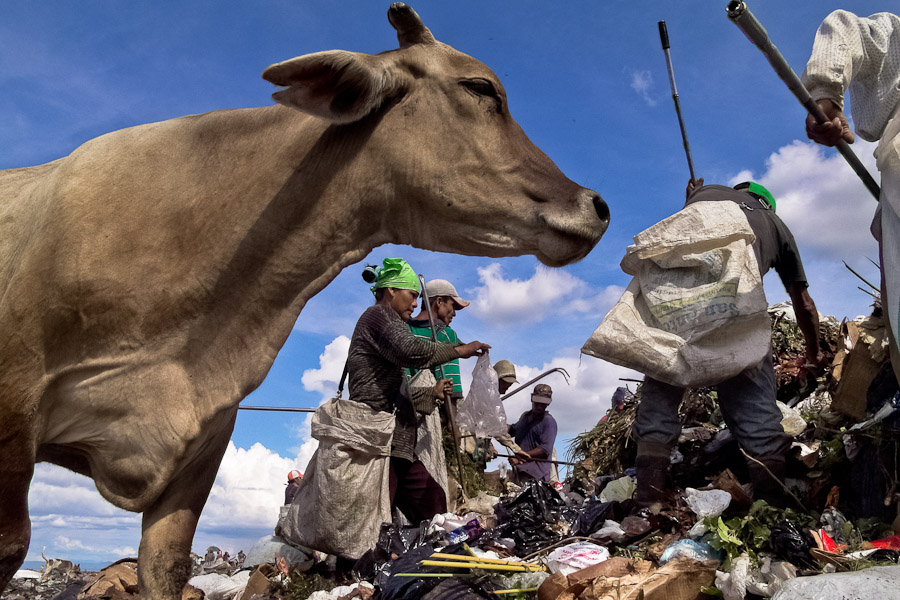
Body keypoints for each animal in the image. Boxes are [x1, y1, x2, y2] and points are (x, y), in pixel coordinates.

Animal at [0, 3, 608, 596]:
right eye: (481, 87)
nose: (596, 205)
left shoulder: (209, 434)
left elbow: (167, 565)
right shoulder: (15, 401)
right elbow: (12, 545)